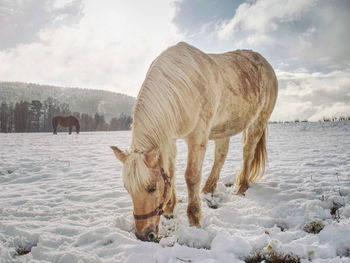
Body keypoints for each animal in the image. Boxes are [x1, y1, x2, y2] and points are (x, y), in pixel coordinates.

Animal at [110, 42, 278, 242]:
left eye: (151, 188)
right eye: (127, 189)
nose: (143, 235)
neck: (182, 87)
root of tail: (266, 64)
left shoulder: (197, 136)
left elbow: (191, 176)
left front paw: (194, 218)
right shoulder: (169, 138)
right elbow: (170, 172)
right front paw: (169, 209)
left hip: (258, 122)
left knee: (247, 153)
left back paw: (241, 187)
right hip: (224, 128)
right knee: (220, 156)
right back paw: (208, 189)